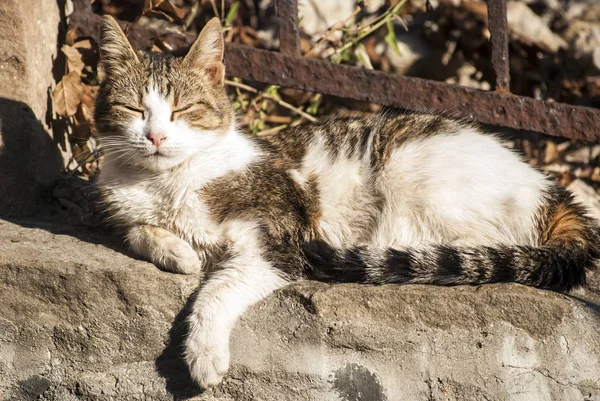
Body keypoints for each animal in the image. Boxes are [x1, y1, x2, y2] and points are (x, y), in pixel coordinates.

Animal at [94, 15, 600, 388]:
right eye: (134, 109)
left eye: (183, 109)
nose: (156, 137)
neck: (167, 183)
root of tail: (549, 187)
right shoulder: (124, 206)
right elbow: (136, 229)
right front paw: (176, 251)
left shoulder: (278, 239)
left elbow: (218, 290)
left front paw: (203, 354)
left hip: (411, 174)